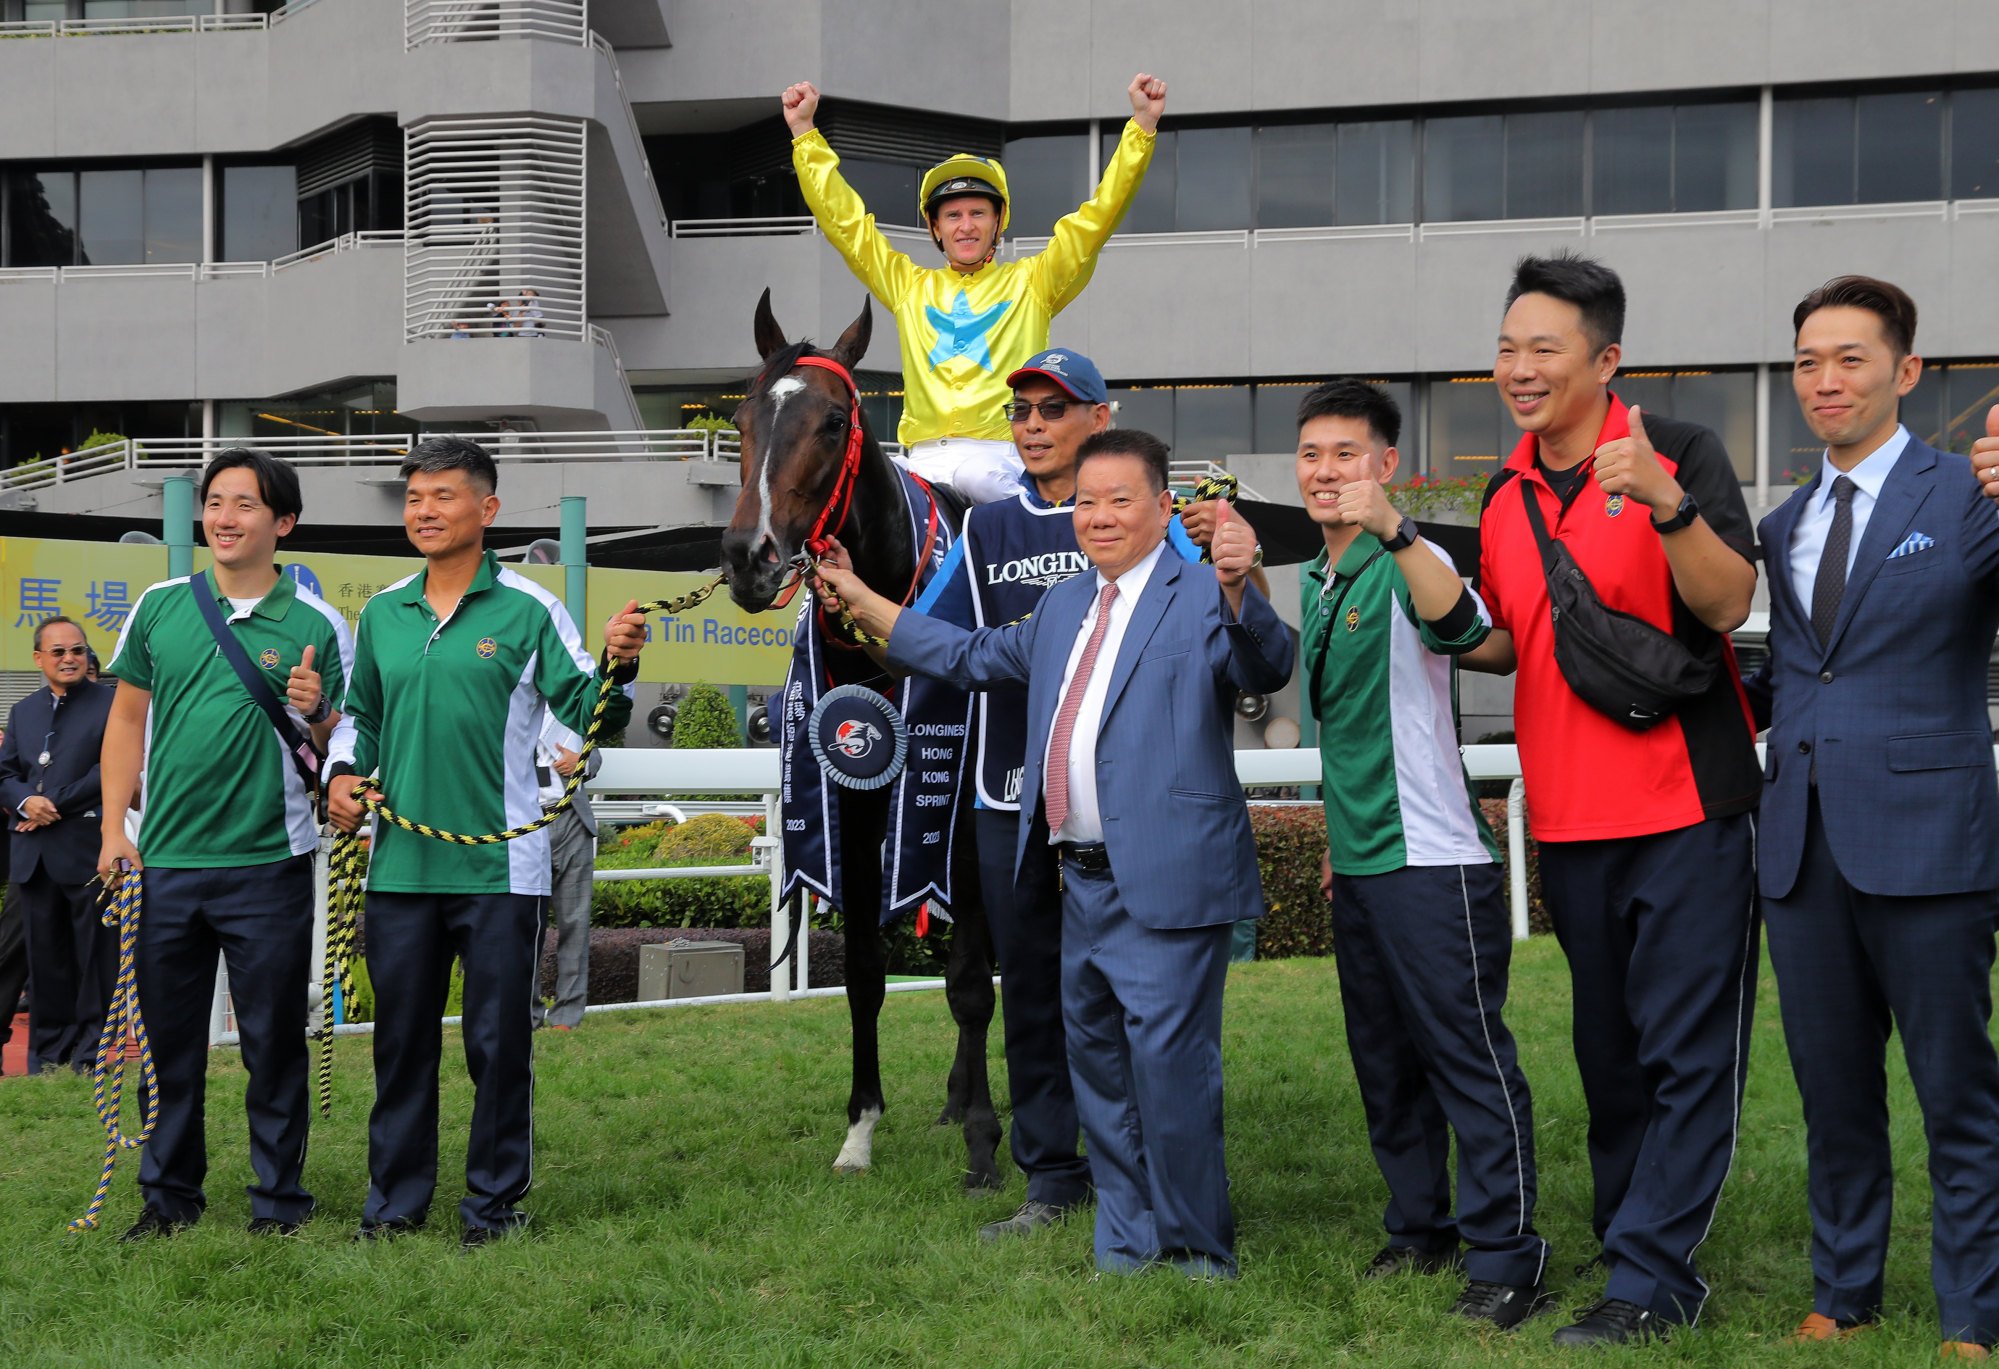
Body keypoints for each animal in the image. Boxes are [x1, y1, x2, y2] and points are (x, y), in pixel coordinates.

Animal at [715, 287, 999, 1183]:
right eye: (739, 417)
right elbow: (868, 975)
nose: (748, 555)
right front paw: (861, 1128)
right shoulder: (860, 804)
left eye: (835, 420)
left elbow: (971, 979)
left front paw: (988, 1140)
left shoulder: (959, 817)